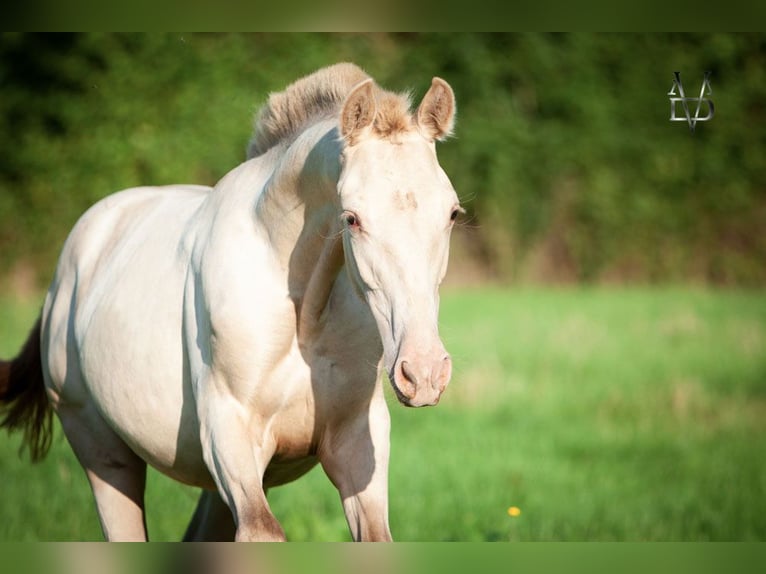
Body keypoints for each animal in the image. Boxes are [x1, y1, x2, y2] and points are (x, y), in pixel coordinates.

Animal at [0, 64, 462, 544]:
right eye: (351, 218)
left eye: (452, 214)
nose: (423, 374)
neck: (303, 313)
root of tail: (64, 274)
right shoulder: (230, 435)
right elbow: (263, 532)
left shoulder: (355, 442)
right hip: (104, 456)